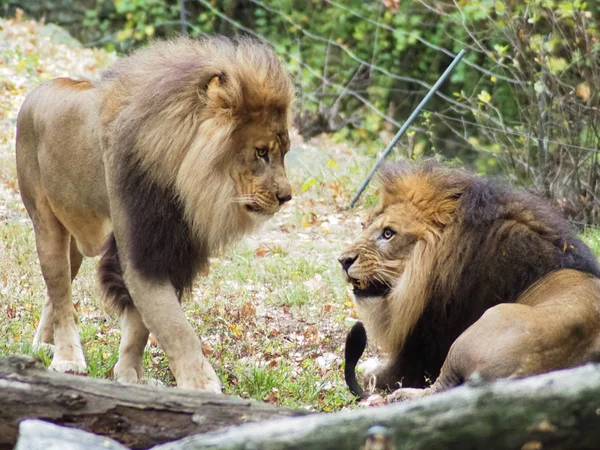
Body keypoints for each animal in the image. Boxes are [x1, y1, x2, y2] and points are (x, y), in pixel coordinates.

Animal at [15, 37, 294, 392]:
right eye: (261, 152)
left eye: (284, 152)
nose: (287, 197)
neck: (183, 185)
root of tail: (38, 90)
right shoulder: (141, 248)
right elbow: (175, 327)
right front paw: (201, 386)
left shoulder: (169, 248)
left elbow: (140, 326)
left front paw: (131, 376)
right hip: (45, 224)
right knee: (62, 293)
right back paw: (66, 357)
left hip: (74, 239)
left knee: (55, 291)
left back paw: (43, 344)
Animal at [340, 160, 600, 400]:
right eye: (363, 226)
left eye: (388, 233)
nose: (343, 260)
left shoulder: (420, 352)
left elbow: (378, 376)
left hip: (475, 331)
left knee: (438, 389)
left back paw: (402, 395)